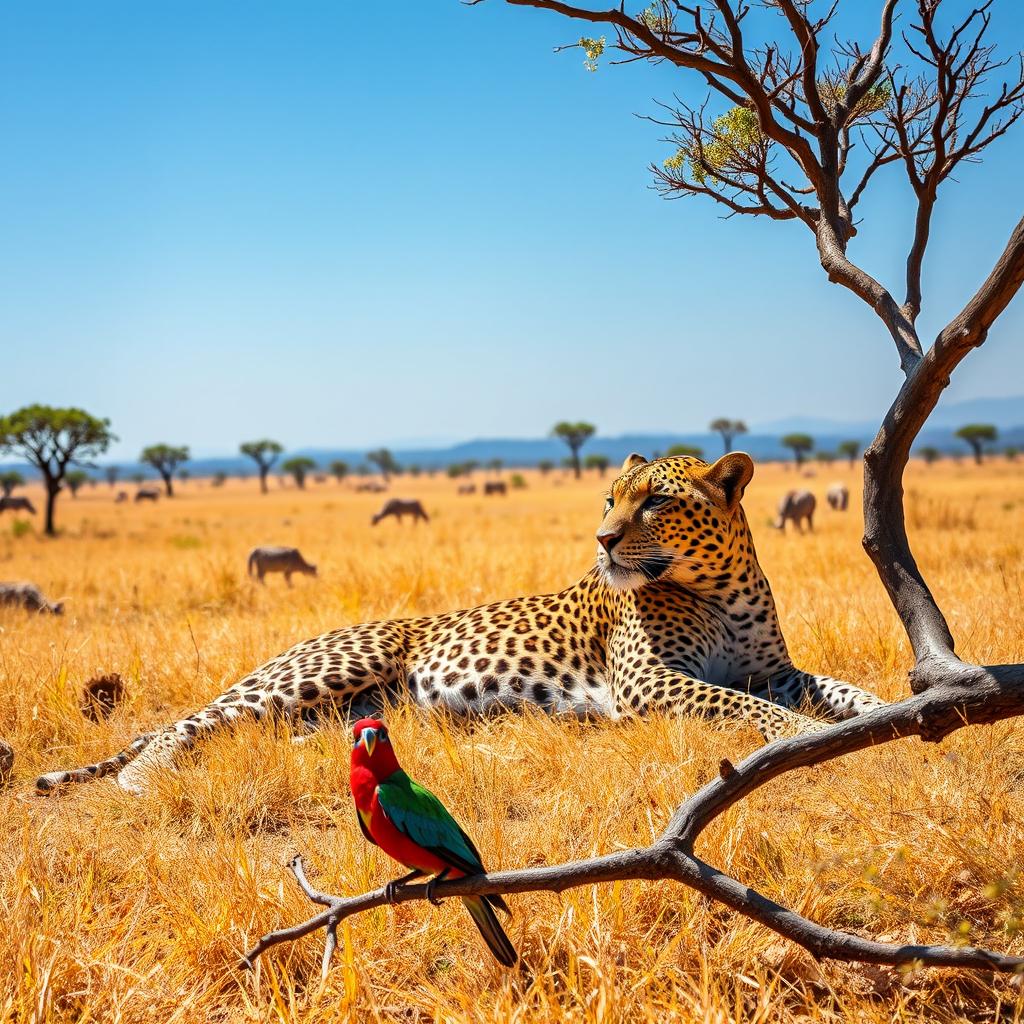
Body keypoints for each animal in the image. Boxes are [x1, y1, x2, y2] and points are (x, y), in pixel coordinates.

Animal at [36, 452, 885, 795]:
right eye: (611, 498)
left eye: (657, 502)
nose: (603, 539)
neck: (721, 585)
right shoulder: (651, 682)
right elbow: (743, 704)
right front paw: (805, 736)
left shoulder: (776, 667)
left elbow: (837, 687)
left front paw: (890, 709)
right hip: (328, 669)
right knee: (188, 725)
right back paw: (143, 779)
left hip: (344, 703)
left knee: (264, 732)